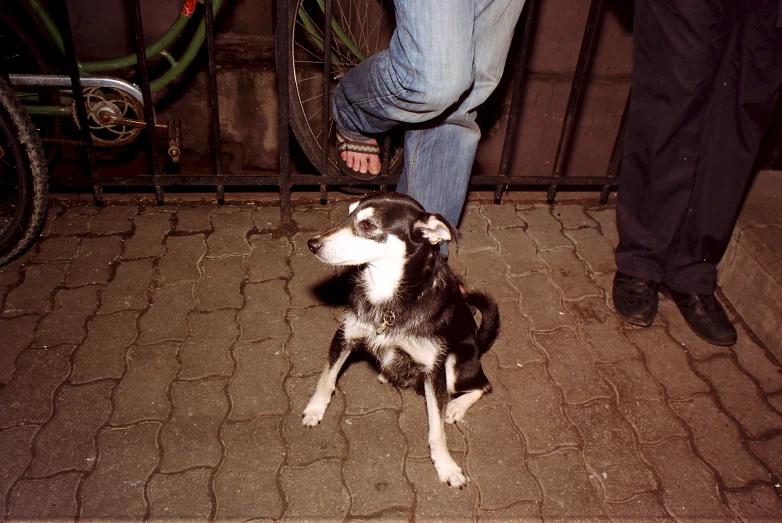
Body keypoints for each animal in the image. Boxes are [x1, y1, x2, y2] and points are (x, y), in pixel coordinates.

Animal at [304, 193, 500, 492]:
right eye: (348, 214)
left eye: (368, 224)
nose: (312, 244)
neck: (390, 298)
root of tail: (479, 341)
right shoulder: (345, 335)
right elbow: (326, 378)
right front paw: (315, 408)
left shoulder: (434, 368)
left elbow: (436, 430)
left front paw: (445, 465)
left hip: (455, 364)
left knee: (484, 385)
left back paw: (455, 407)